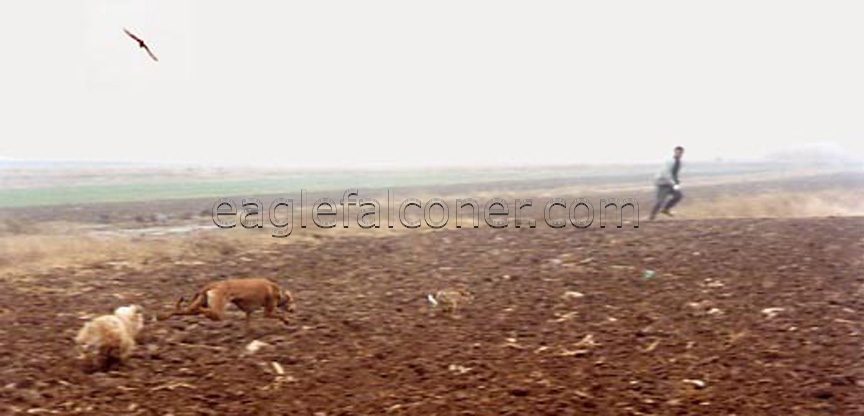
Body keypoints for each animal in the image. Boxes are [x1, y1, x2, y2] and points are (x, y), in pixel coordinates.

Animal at [160, 278, 296, 326]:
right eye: (292, 300)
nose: (294, 310)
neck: (277, 291)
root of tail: (213, 285)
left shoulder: (248, 312)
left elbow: (248, 324)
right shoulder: (268, 312)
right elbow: (279, 315)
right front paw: (286, 320)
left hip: (198, 305)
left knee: (180, 311)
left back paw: (163, 316)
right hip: (218, 311)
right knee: (203, 311)